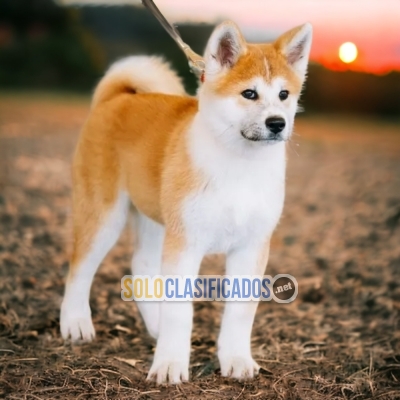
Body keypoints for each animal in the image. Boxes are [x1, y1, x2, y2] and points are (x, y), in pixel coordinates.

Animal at [60, 20, 312, 382]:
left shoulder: (251, 246)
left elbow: (240, 312)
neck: (239, 166)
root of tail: (117, 97)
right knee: (79, 268)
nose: (277, 123)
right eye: (249, 93)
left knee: (141, 267)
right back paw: (76, 323)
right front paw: (170, 365)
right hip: (105, 214)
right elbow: (181, 311)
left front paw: (236, 359)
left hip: (154, 217)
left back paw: (155, 325)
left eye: (283, 95)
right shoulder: (186, 242)